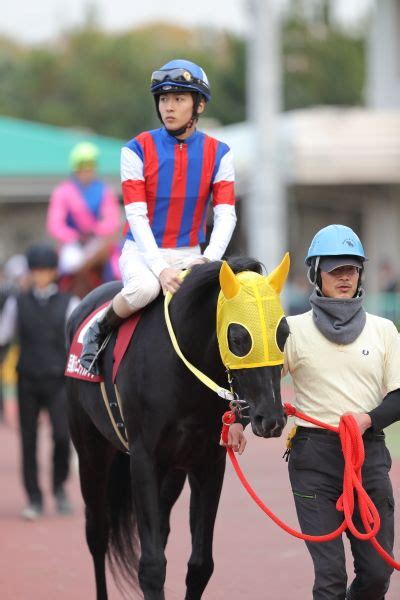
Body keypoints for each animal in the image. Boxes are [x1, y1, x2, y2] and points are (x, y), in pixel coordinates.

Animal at [65, 254, 290, 600]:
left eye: (284, 334)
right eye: (238, 338)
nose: (271, 419)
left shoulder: (209, 463)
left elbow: (200, 565)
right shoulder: (143, 459)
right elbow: (152, 565)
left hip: (171, 471)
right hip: (91, 450)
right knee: (98, 532)